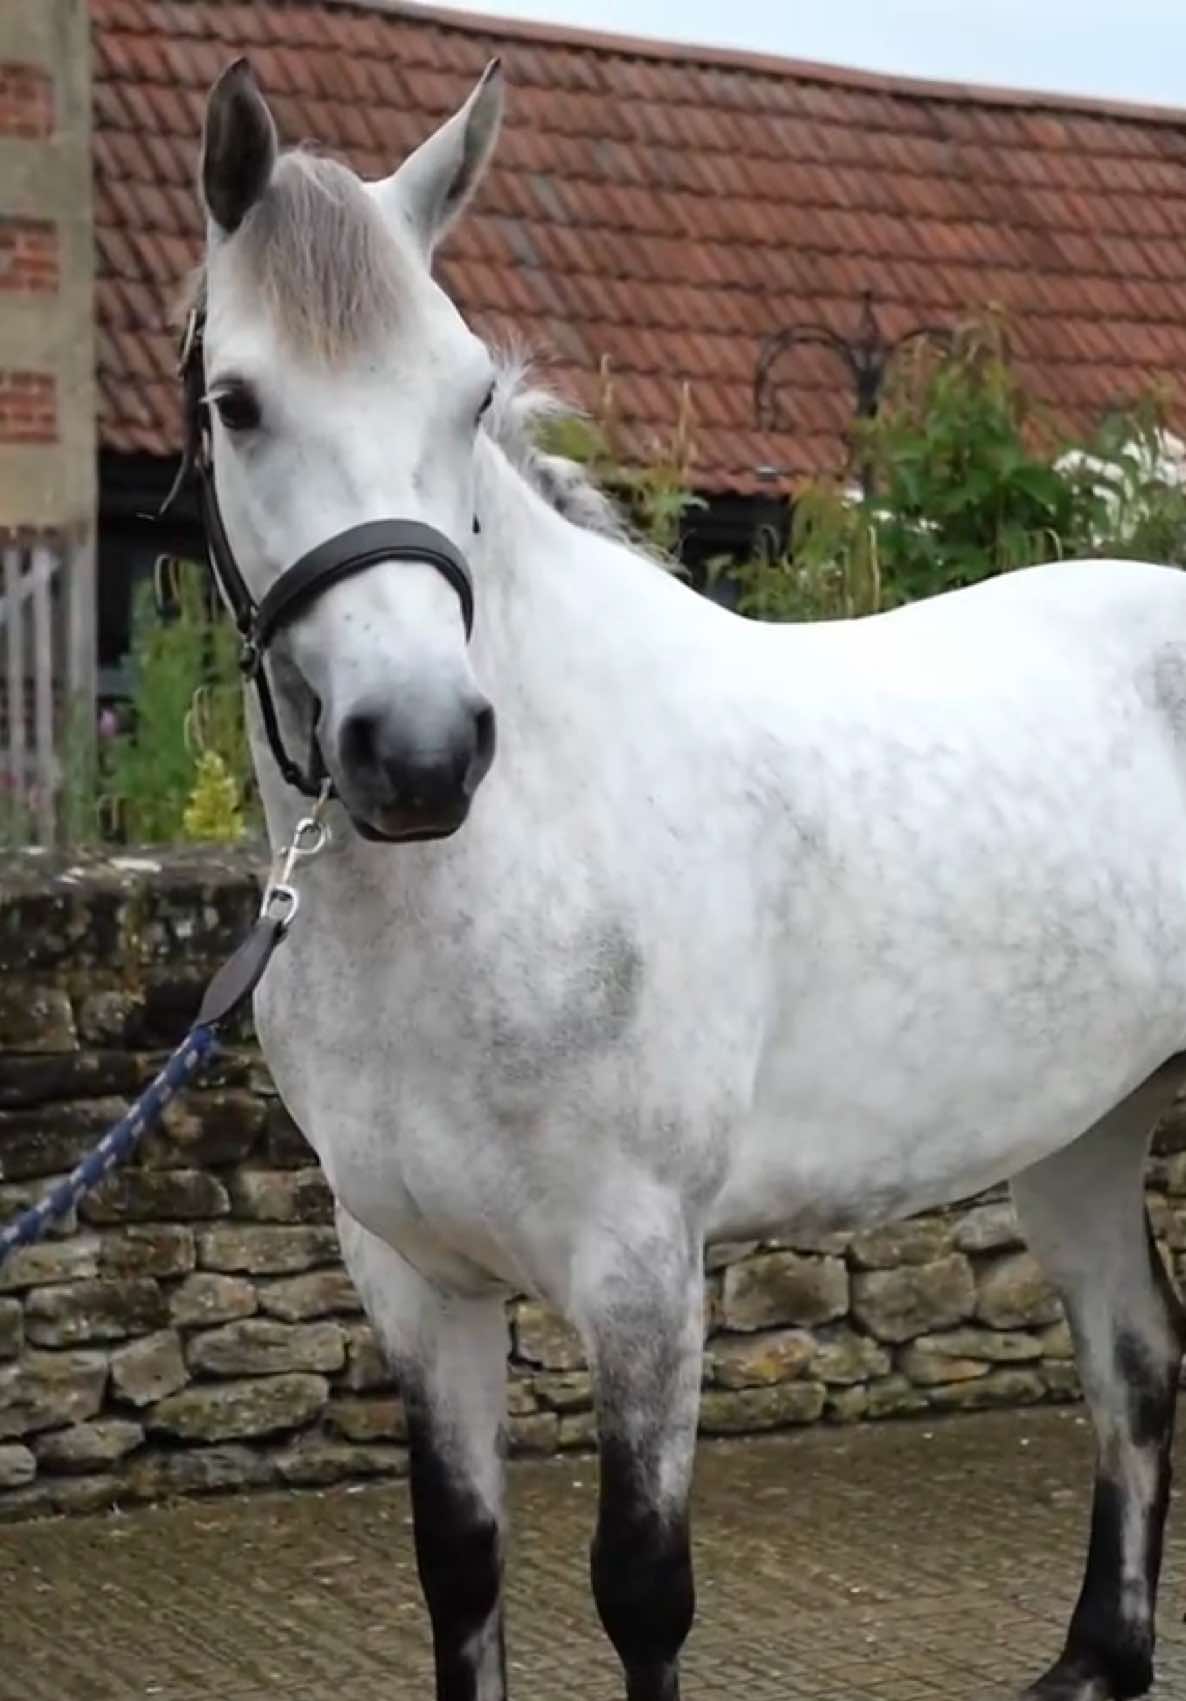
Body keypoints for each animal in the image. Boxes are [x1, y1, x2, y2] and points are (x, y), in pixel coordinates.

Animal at [192, 56, 1186, 1701]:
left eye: (469, 394)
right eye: (236, 401)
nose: (420, 749)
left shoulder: (642, 1270)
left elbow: (640, 1592)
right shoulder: (410, 1275)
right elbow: (460, 1570)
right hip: (1082, 1133)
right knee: (1137, 1367)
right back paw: (1092, 1662)